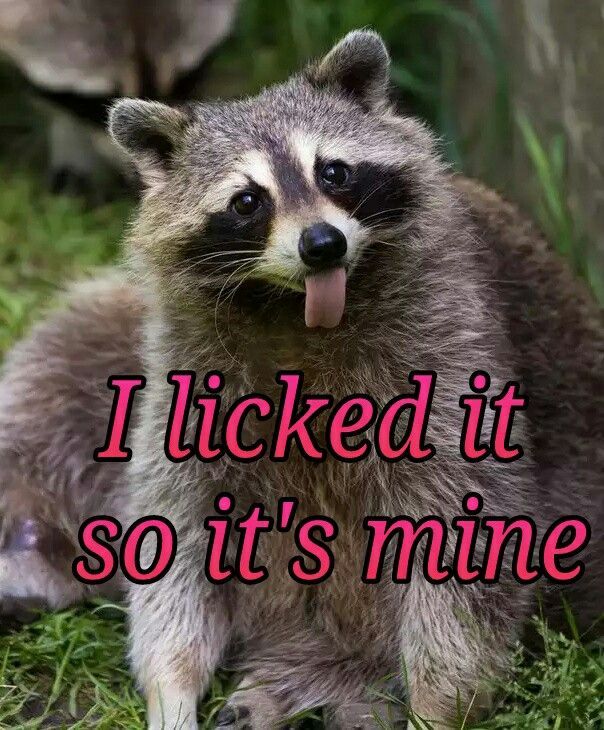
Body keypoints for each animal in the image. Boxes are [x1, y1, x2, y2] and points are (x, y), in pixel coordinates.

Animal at [0, 30, 603, 729]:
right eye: (247, 201)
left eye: (334, 172)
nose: (322, 243)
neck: (293, 308)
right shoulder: (184, 356)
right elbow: (175, 517)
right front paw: (170, 685)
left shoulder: (452, 339)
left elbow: (464, 529)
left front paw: (440, 704)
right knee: (58, 363)